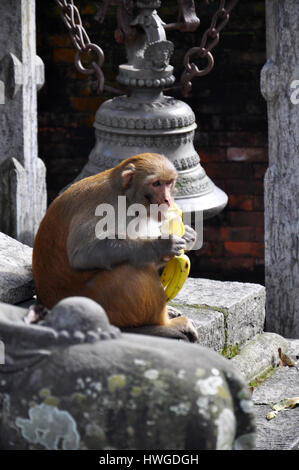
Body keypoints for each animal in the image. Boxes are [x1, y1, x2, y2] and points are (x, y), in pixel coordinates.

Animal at [32, 154, 199, 342]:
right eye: (156, 183)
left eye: (169, 183)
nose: (167, 200)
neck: (127, 198)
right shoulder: (106, 208)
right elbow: (82, 255)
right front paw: (160, 245)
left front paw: (187, 236)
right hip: (96, 300)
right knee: (133, 269)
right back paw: (163, 326)